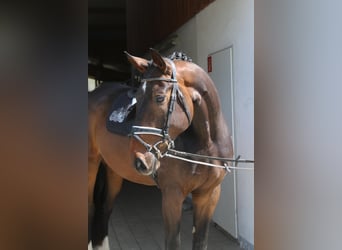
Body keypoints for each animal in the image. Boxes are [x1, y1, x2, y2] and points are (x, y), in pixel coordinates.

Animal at [88, 49, 234, 250]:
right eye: (137, 99)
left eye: (159, 98)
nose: (140, 161)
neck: (208, 144)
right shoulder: (172, 195)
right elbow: (173, 243)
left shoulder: (209, 195)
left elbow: (200, 241)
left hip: (113, 171)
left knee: (104, 210)